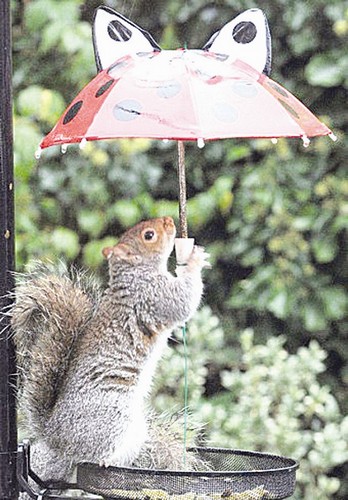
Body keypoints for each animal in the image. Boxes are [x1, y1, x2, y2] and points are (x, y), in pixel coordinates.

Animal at [10, 218, 209, 484]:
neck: (135, 274)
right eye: (149, 235)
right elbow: (184, 300)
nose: (168, 220)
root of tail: (56, 437)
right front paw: (194, 260)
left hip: (134, 430)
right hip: (112, 415)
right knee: (90, 456)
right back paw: (105, 461)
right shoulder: (155, 297)